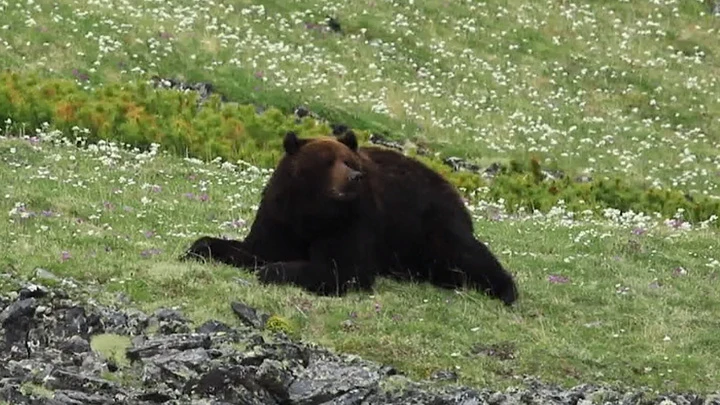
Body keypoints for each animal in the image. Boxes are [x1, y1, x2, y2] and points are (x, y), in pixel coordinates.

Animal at [180, 129, 516, 304]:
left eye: (348, 160)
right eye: (328, 161)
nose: (354, 177)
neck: (312, 212)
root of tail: (449, 185)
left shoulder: (353, 220)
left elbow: (343, 268)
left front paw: (274, 271)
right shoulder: (281, 216)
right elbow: (255, 248)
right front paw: (197, 248)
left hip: (428, 224)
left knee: (464, 254)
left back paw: (505, 289)